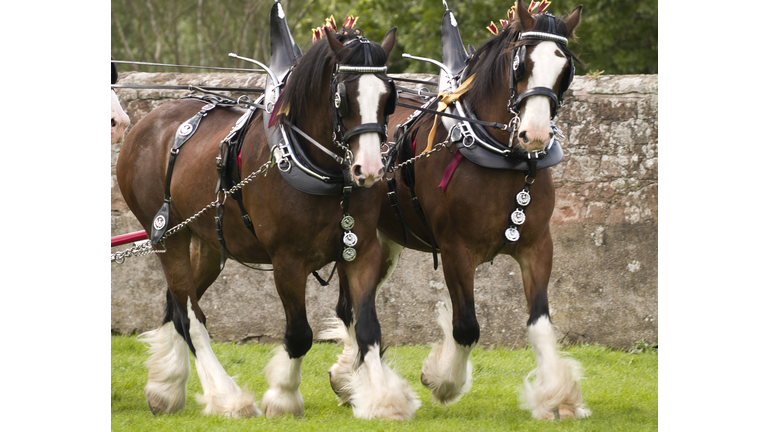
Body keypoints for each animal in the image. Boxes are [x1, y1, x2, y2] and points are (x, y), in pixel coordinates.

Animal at [116, 8, 420, 419]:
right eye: (342, 98)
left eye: (389, 98)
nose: (369, 169)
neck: (317, 165)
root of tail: (146, 123)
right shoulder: (287, 261)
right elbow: (300, 333)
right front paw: (283, 397)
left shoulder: (362, 250)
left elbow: (368, 327)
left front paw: (385, 399)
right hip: (168, 236)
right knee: (190, 316)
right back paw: (226, 397)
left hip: (207, 242)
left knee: (174, 305)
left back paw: (165, 387)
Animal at [330, 1, 590, 421]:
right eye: (521, 64)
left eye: (564, 69)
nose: (534, 134)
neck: (502, 158)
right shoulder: (456, 251)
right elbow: (466, 325)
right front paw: (443, 380)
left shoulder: (537, 246)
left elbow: (540, 323)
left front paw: (558, 397)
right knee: (349, 309)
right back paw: (362, 383)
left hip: (384, 244)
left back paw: (348, 376)